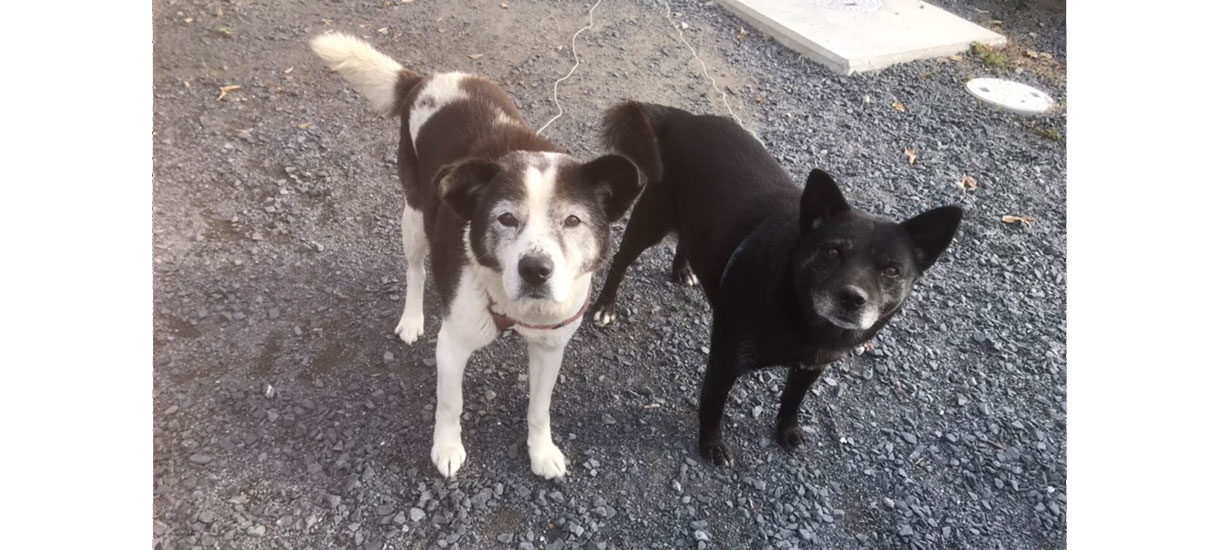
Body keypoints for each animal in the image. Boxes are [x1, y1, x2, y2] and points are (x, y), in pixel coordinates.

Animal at [309, 34, 644, 480]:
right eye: (506, 218)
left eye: (573, 220)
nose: (535, 270)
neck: (512, 305)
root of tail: (427, 78)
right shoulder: (452, 344)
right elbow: (452, 403)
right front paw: (447, 448)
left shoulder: (551, 345)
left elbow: (540, 408)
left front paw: (541, 451)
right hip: (414, 215)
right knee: (415, 269)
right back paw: (412, 317)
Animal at [590, 102, 961, 465]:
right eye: (832, 251)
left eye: (892, 270)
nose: (852, 299)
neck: (796, 304)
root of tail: (683, 118)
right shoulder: (724, 360)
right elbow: (712, 405)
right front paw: (711, 445)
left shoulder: (810, 368)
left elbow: (792, 401)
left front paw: (787, 431)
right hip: (651, 220)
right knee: (620, 262)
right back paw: (605, 305)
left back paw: (682, 269)